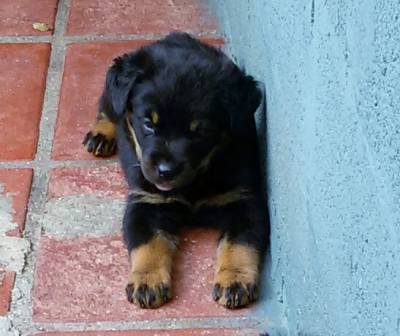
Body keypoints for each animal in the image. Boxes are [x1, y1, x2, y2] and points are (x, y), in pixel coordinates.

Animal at [82, 32, 268, 310]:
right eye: (148, 124)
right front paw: (147, 281)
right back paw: (101, 134)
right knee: (107, 106)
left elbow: (240, 244)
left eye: (199, 131)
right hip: (112, 95)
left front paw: (235, 281)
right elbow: (148, 245)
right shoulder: (147, 201)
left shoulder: (244, 200)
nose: (165, 170)